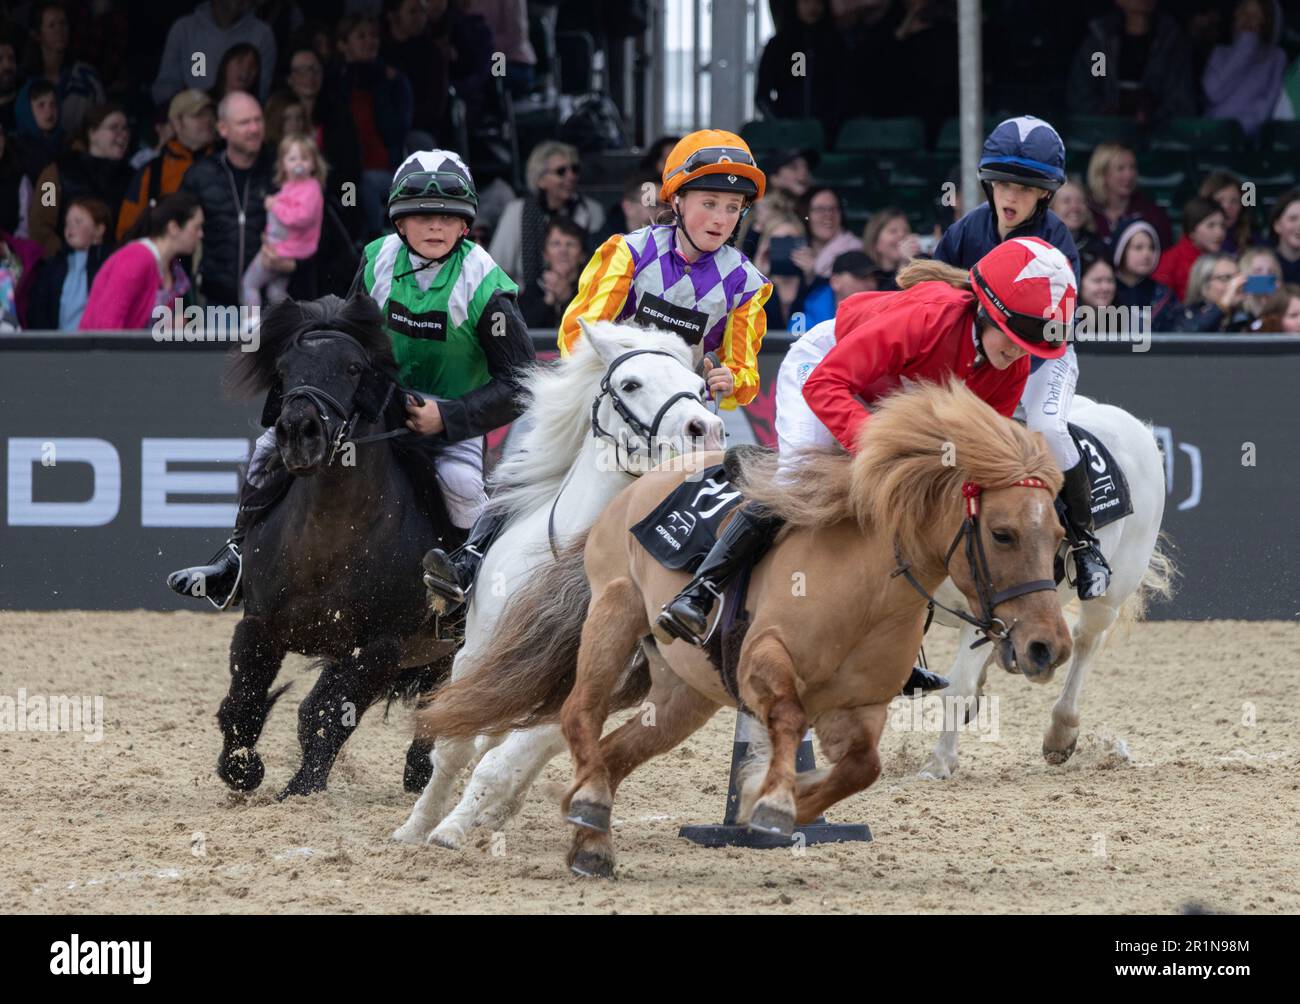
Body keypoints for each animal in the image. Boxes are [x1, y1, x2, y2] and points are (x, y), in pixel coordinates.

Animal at [217, 293, 460, 800]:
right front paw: (244, 770)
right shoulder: (259, 625)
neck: (327, 540)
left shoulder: (379, 648)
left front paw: (301, 790)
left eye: (352, 367)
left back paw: (422, 776)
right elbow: (243, 703)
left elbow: (329, 717)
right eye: (284, 369)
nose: (298, 431)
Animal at [393, 318, 726, 847]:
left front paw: (453, 828)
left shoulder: (591, 682)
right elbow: (454, 745)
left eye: (699, 388)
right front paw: (417, 827)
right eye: (631, 384)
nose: (707, 430)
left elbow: (504, 762)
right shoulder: (477, 652)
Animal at [413, 379, 1076, 877]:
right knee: (579, 714)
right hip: (614, 618)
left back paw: (591, 834)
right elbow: (786, 716)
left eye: (1059, 539)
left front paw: (780, 803)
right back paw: (584, 809)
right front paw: (773, 800)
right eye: (1002, 534)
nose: (1048, 645)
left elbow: (862, 767)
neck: (868, 591)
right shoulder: (764, 660)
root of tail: (631, 490)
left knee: (614, 751)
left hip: (681, 697)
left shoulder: (858, 710)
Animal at [918, 395, 1176, 780]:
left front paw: (938, 764)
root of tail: (1137, 427)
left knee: (1085, 642)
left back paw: (1061, 732)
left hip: (1112, 592)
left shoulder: (985, 607)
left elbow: (956, 686)